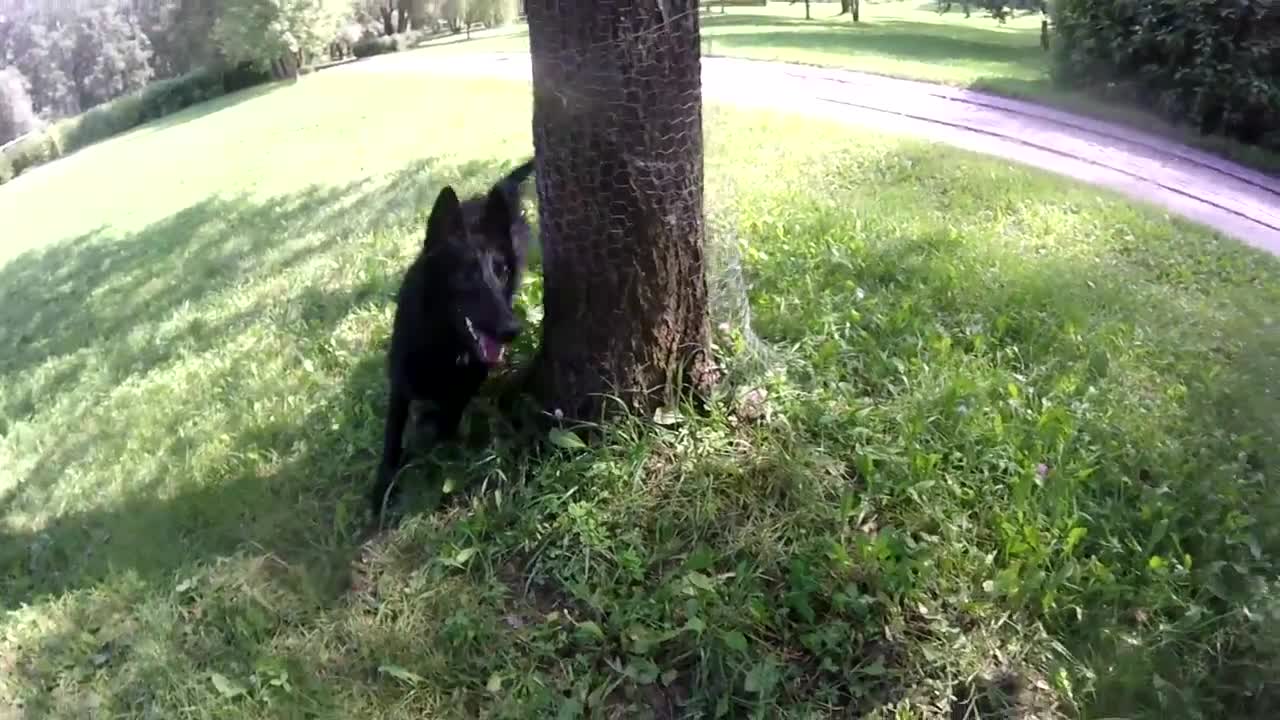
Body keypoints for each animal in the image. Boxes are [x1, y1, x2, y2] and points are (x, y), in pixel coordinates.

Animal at [371, 159, 535, 512]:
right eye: (465, 274)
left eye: (501, 271)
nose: (511, 330)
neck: (443, 341)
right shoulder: (400, 386)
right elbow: (392, 440)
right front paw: (380, 492)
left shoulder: (464, 387)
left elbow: (445, 423)